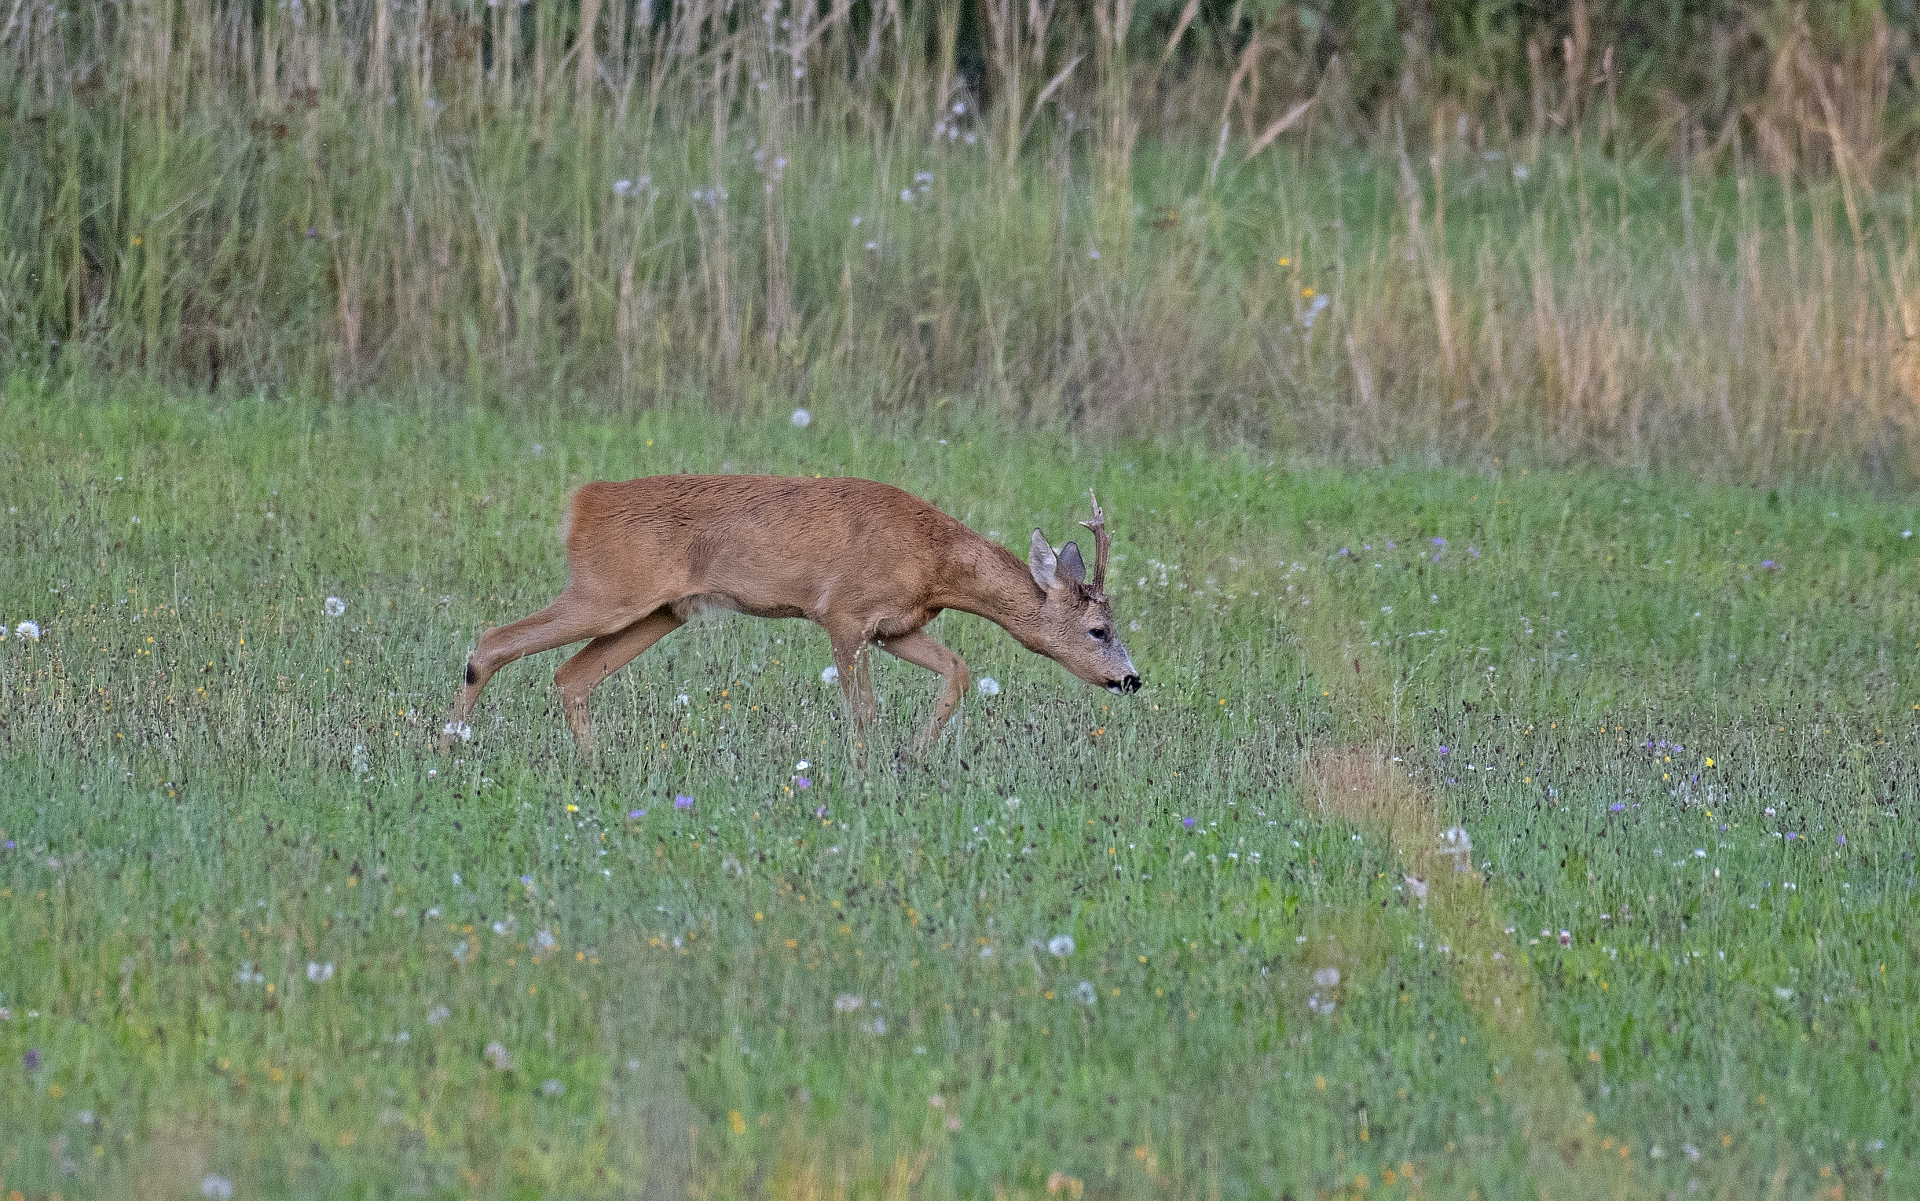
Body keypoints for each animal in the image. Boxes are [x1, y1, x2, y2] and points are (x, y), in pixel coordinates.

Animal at [439, 471, 1136, 752]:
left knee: (569, 677)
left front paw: (911, 757)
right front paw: (867, 770)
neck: (934, 561)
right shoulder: (845, 614)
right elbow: (864, 709)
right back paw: (450, 747)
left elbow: (958, 671)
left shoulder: (897, 627)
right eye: (1098, 629)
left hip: (658, 612)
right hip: (608, 592)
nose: (1131, 679)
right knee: (492, 642)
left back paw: (593, 767)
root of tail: (582, 502)